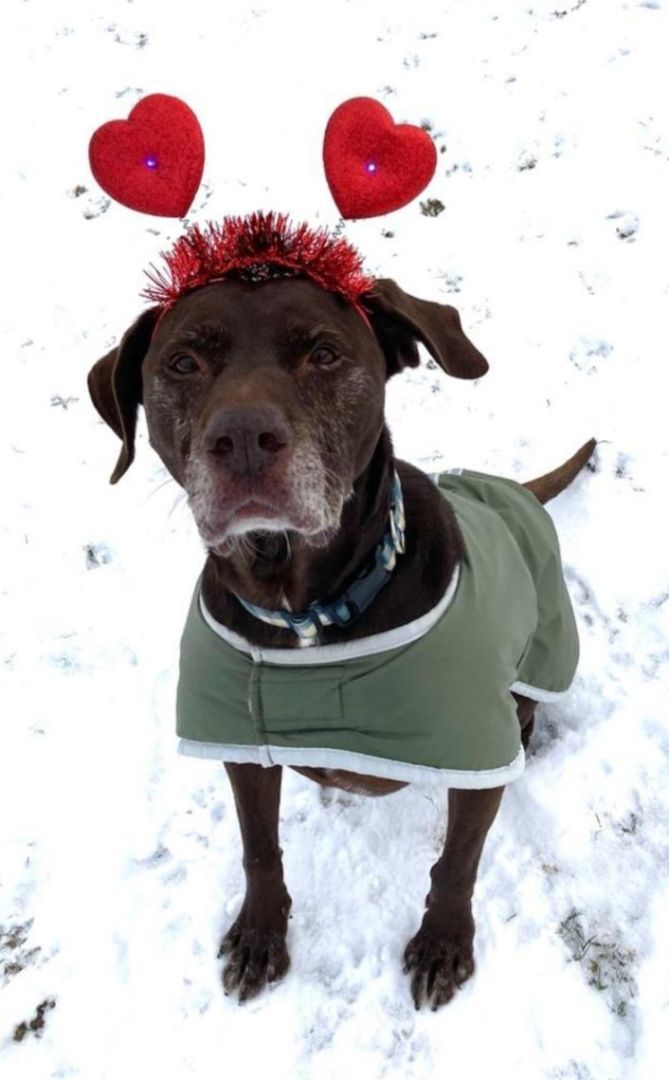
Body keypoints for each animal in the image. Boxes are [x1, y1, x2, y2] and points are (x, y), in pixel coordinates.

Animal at [89, 272, 596, 1010]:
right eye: (182, 363)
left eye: (324, 353)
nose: (244, 437)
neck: (304, 613)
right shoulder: (241, 749)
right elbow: (259, 849)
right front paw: (259, 937)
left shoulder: (475, 762)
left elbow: (456, 862)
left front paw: (442, 945)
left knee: (526, 710)